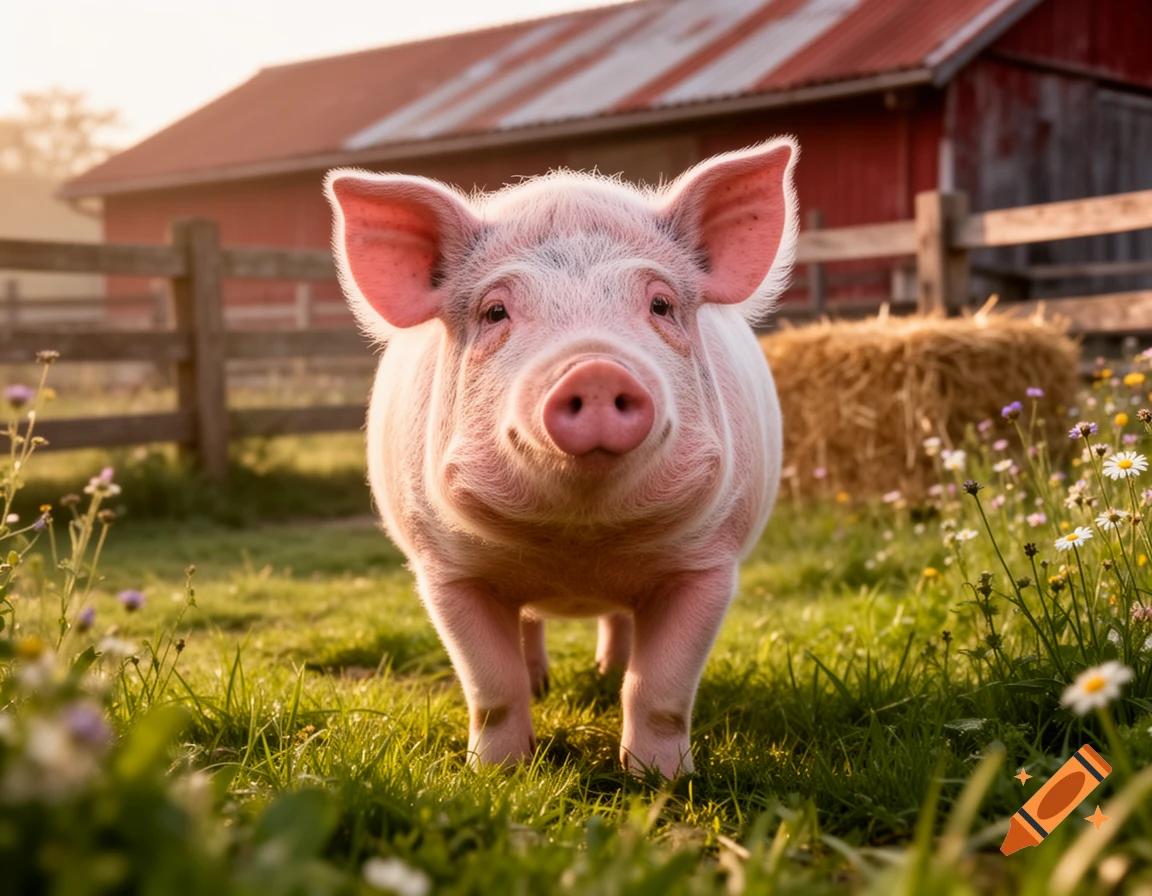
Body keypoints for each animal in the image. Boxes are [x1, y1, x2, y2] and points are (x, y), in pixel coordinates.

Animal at [325, 138, 796, 777]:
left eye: (661, 304)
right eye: (495, 312)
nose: (594, 369)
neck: (578, 545)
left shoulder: (709, 564)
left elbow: (662, 691)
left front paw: (660, 781)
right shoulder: (446, 570)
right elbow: (492, 687)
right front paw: (498, 773)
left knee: (619, 625)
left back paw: (603, 676)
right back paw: (544, 683)